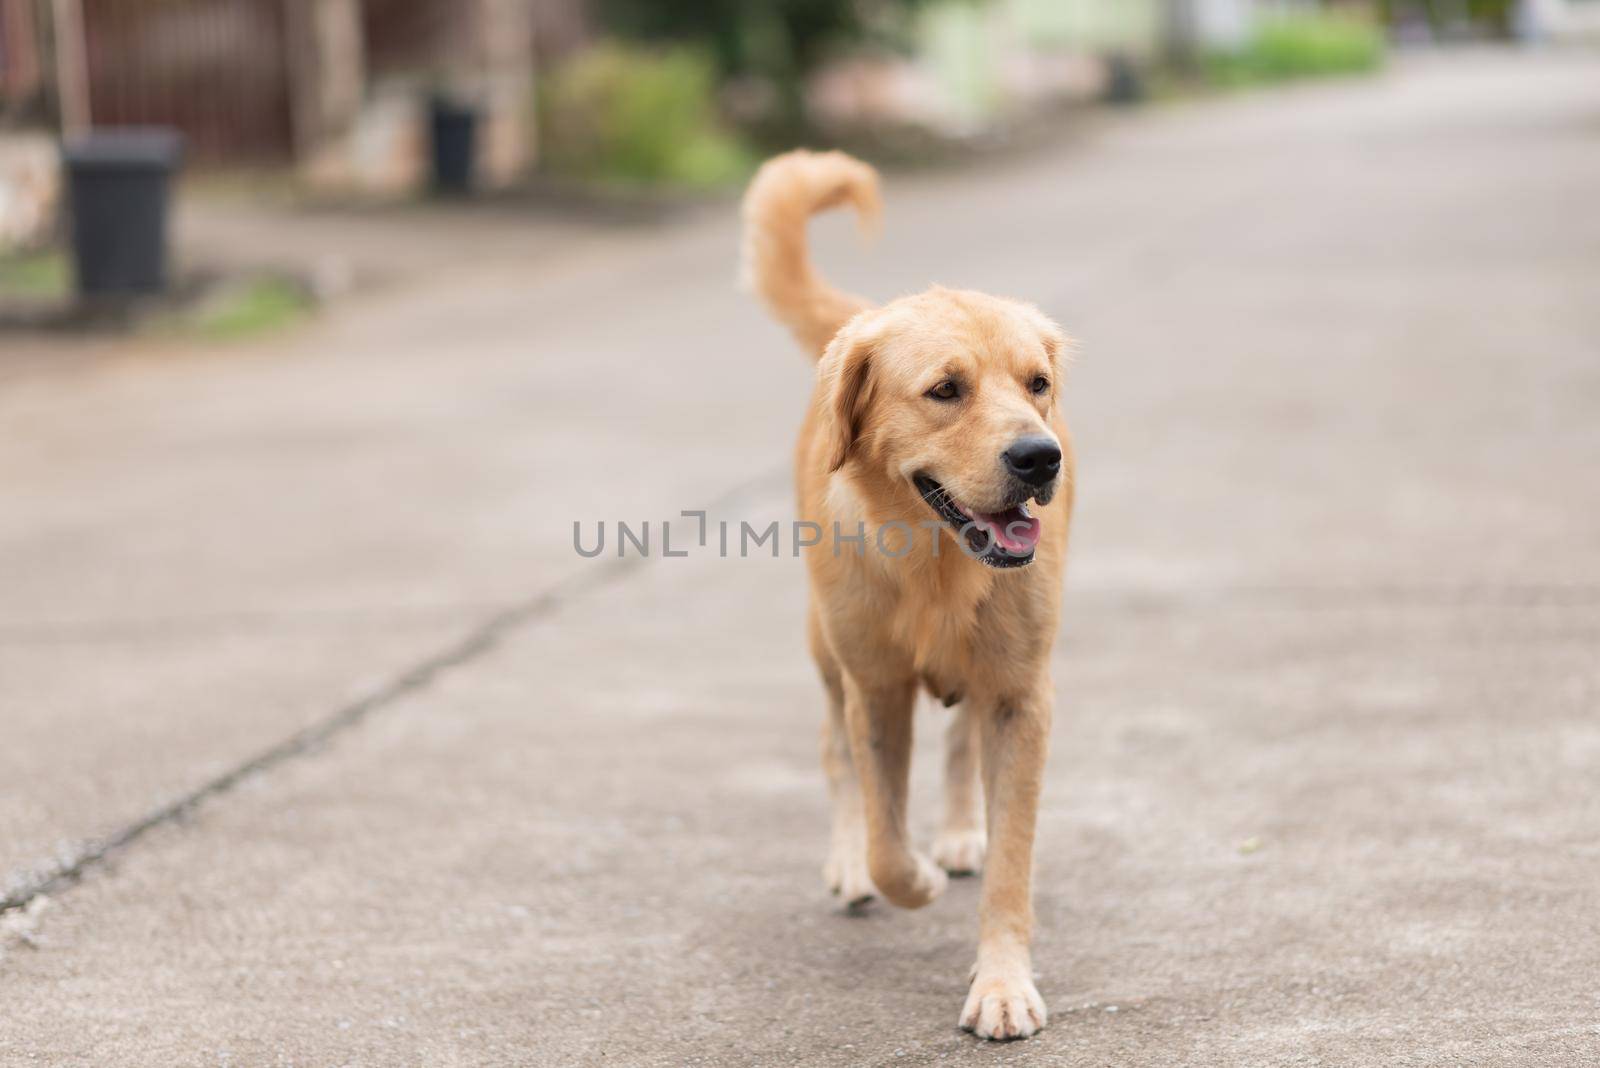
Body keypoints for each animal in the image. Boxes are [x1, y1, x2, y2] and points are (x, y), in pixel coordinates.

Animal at [739, 146, 1075, 1036]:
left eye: (1036, 383)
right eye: (945, 390)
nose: (1041, 457)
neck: (937, 568)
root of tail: (863, 317)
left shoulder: (1021, 695)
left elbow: (1013, 861)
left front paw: (1002, 983)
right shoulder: (876, 688)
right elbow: (889, 837)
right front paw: (904, 874)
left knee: (960, 749)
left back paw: (958, 833)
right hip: (825, 652)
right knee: (836, 757)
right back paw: (854, 862)